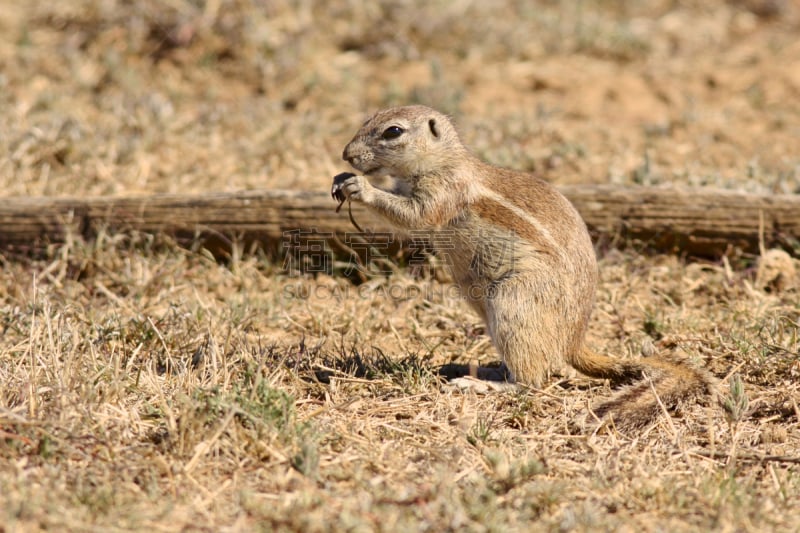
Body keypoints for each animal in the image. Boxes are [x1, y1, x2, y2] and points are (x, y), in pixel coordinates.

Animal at [328, 106, 716, 430]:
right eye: (368, 118)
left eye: (393, 131)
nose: (347, 154)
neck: (443, 159)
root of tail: (572, 342)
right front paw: (341, 178)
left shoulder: (443, 192)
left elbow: (413, 216)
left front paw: (360, 186)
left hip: (515, 302)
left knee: (532, 381)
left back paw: (482, 386)